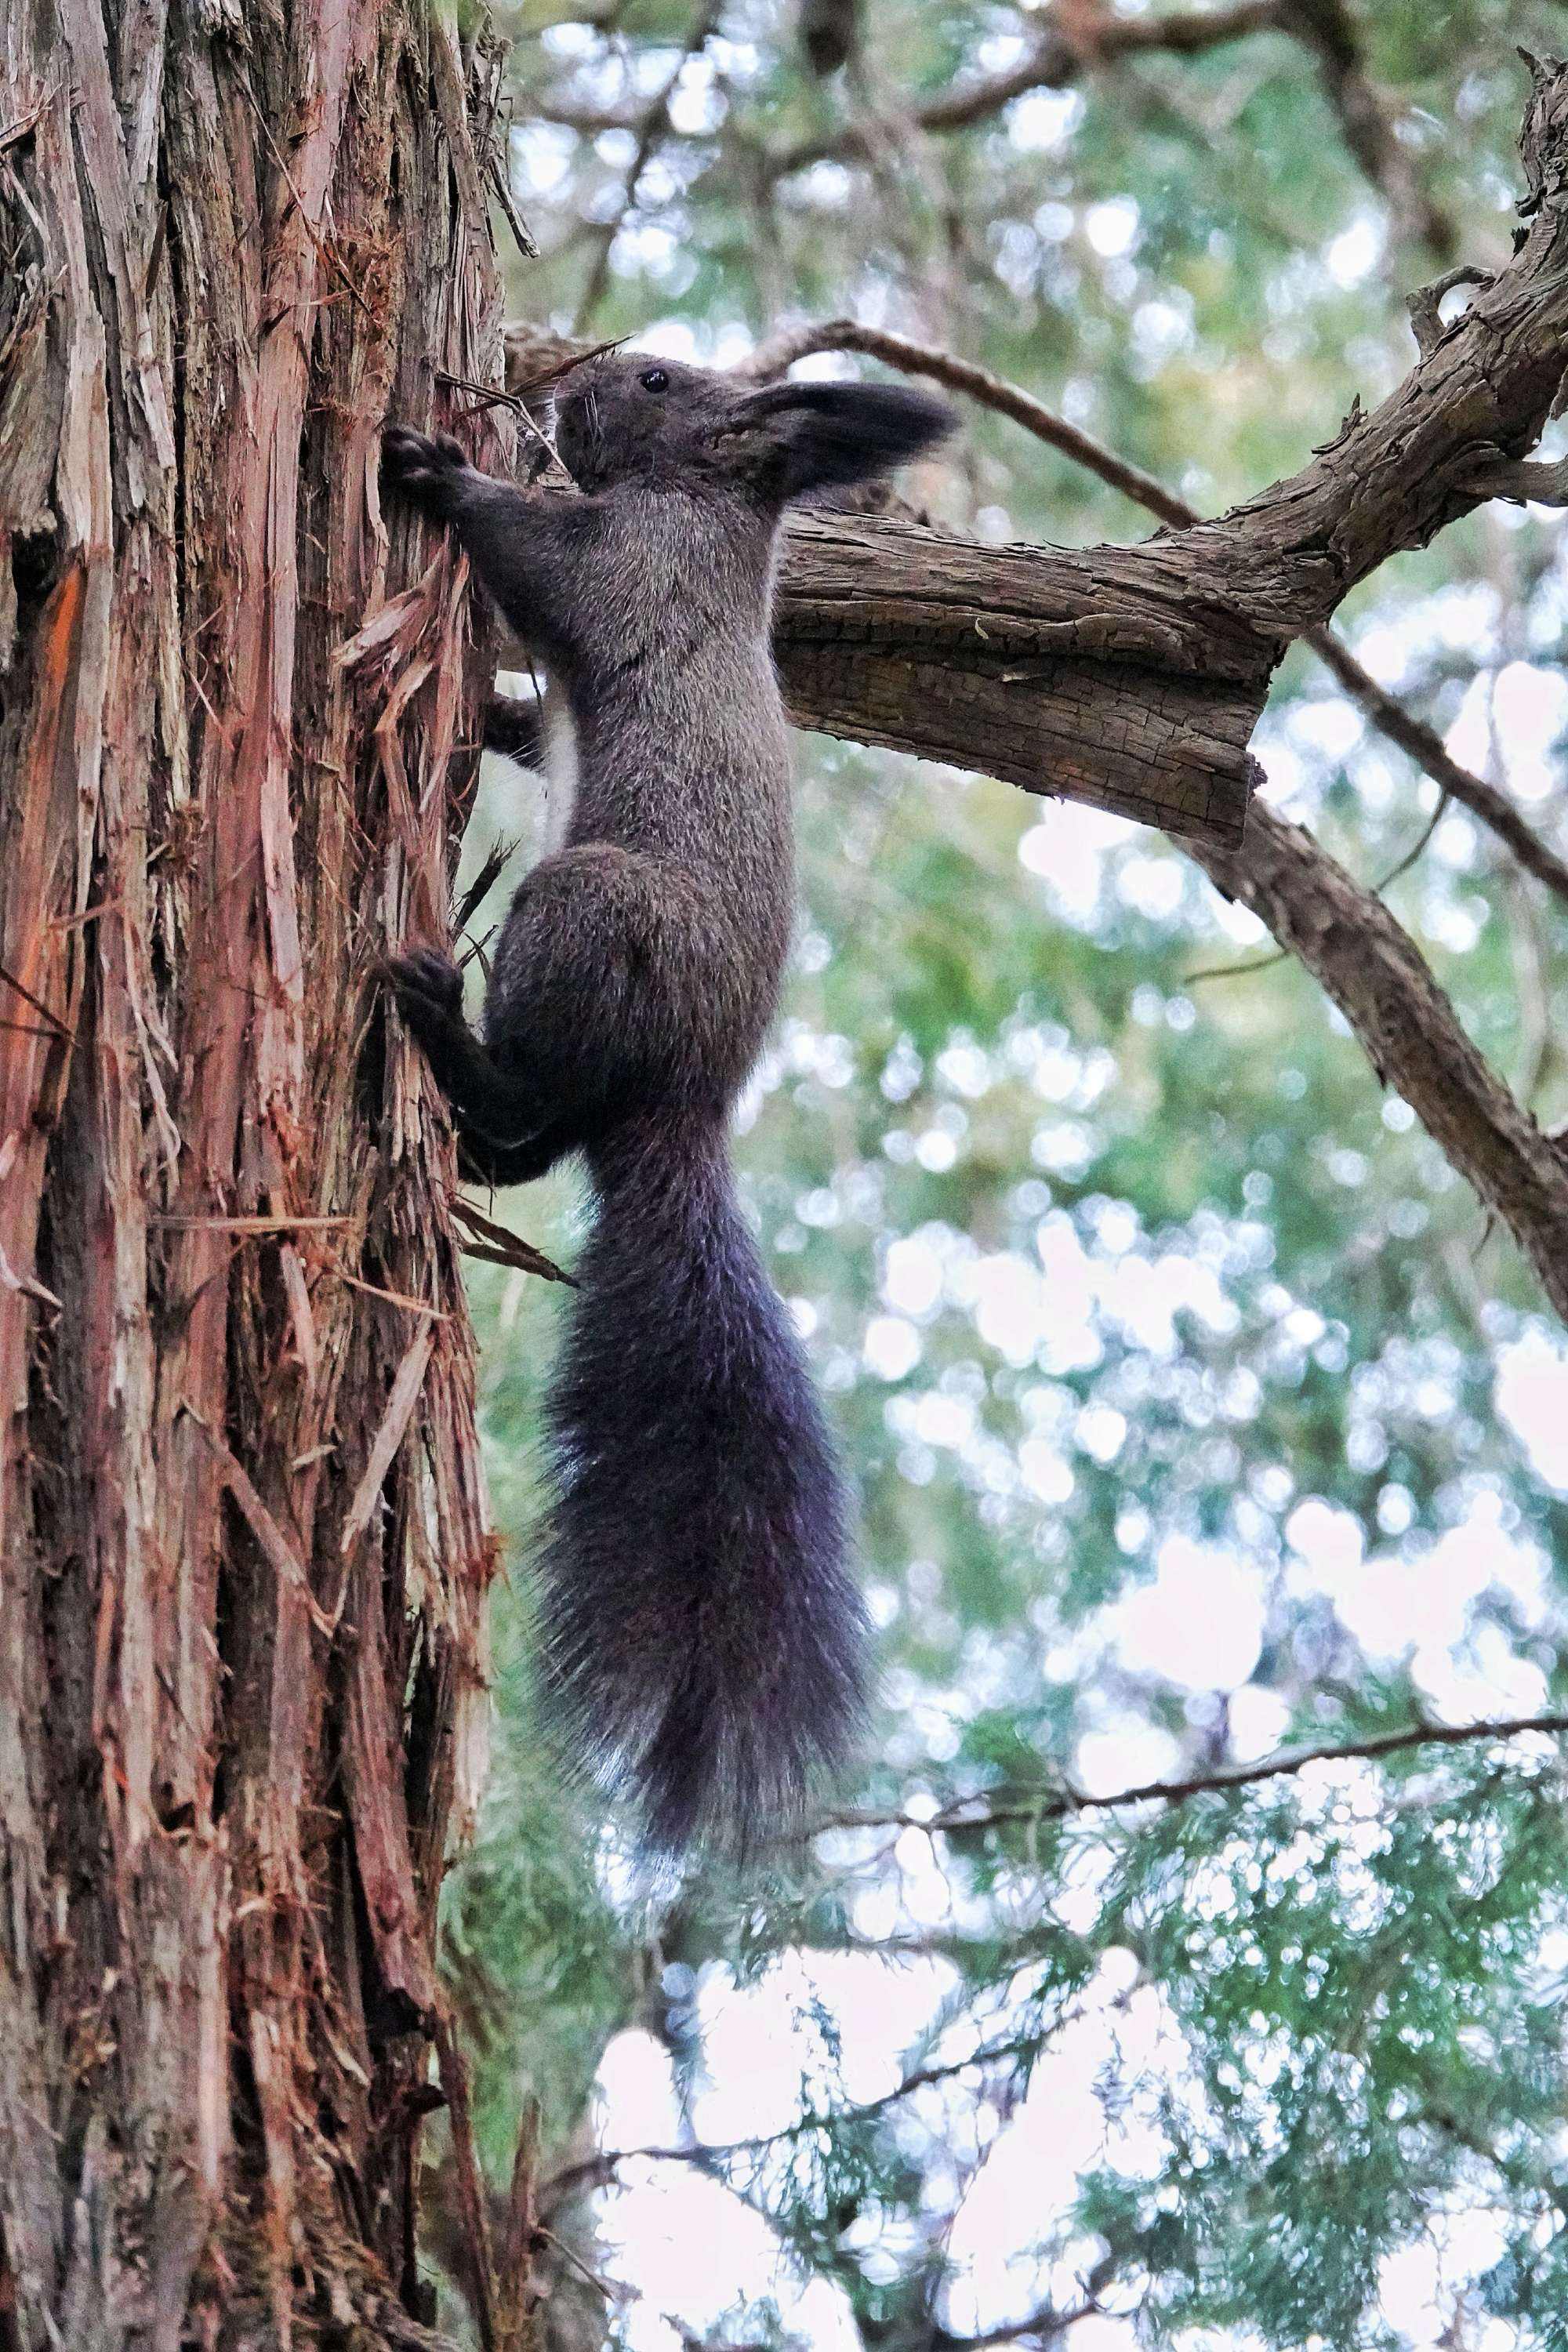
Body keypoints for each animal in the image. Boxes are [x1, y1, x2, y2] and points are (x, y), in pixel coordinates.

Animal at [380, 348, 959, 1853]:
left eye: (649, 378)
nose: (558, 388)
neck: (712, 507)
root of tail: (689, 1104)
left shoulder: (633, 564)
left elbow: (545, 564)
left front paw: (444, 468)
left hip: (584, 913)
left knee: (542, 1093)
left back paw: (444, 1033)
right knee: (546, 1142)